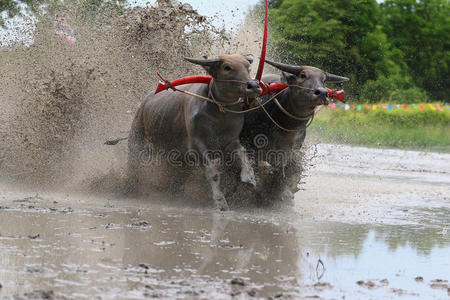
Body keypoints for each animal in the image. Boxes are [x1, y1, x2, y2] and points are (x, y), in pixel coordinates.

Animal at [127, 54, 260, 210]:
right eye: (227, 67)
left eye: (248, 67)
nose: (254, 86)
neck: (219, 115)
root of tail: (144, 103)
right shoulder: (197, 146)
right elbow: (213, 173)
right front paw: (220, 202)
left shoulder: (231, 141)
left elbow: (243, 156)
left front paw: (250, 178)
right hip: (137, 141)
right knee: (134, 165)